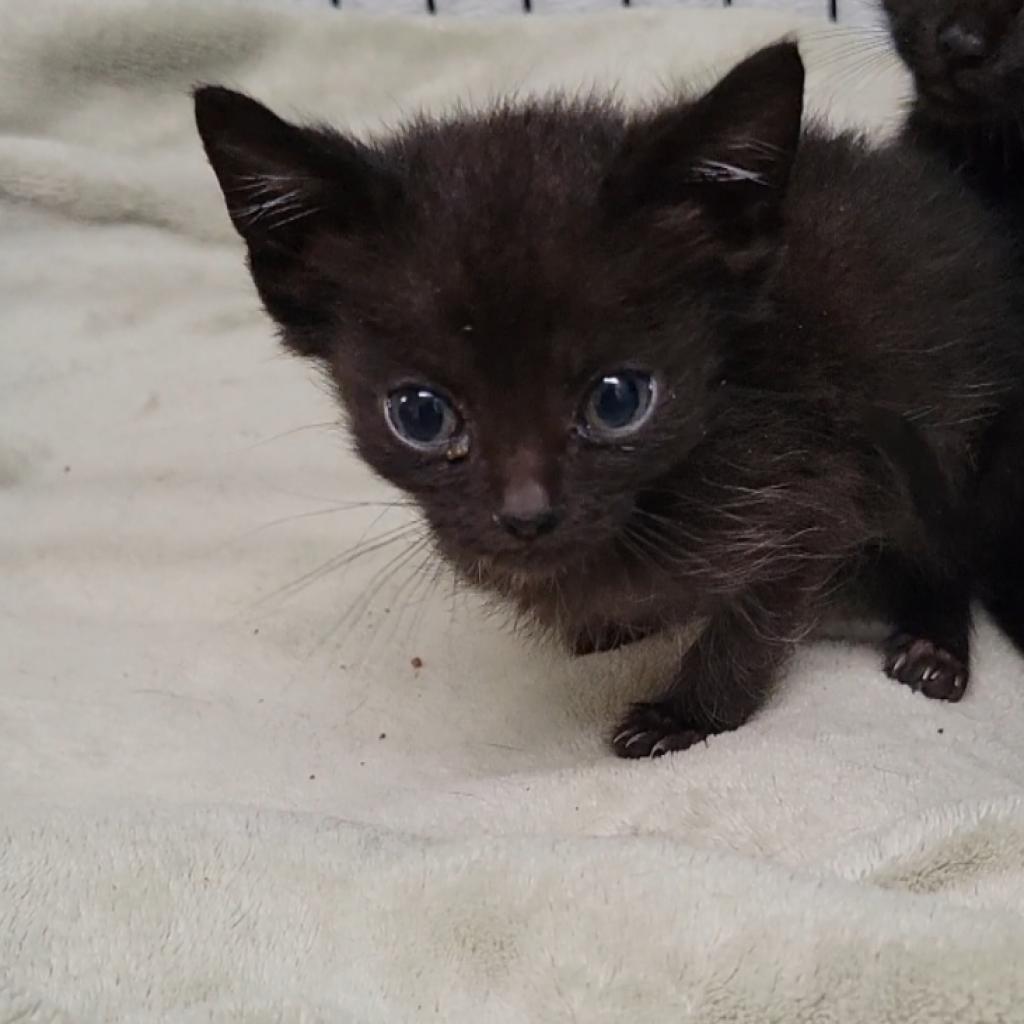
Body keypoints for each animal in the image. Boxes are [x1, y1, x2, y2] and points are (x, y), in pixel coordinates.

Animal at [195, 44, 1024, 757]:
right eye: (420, 414)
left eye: (618, 402)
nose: (526, 515)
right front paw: (617, 621)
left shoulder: (813, 484)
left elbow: (755, 622)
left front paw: (686, 716)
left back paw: (934, 647)